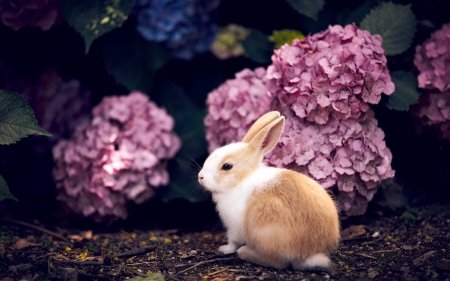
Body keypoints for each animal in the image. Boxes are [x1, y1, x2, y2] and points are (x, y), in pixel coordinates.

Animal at [199, 110, 340, 270]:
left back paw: (245, 252)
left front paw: (224, 249)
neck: (242, 179)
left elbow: (233, 242)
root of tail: (308, 253)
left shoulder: (234, 227)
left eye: (227, 166)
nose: (200, 177)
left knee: (278, 262)